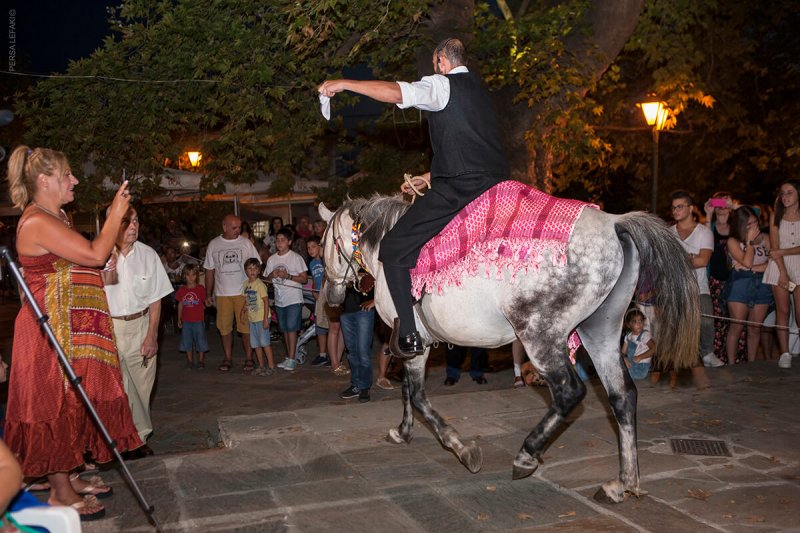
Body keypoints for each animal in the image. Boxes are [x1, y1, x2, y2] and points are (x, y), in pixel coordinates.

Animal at [318, 195, 700, 502]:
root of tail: (615, 223)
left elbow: (417, 395)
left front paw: (461, 448)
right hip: (600, 329)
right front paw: (403, 431)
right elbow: (408, 393)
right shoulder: (412, 345)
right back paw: (623, 483)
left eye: (324, 244)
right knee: (622, 395)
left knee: (570, 392)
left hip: (539, 334)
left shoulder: (416, 342)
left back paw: (527, 455)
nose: (332, 298)